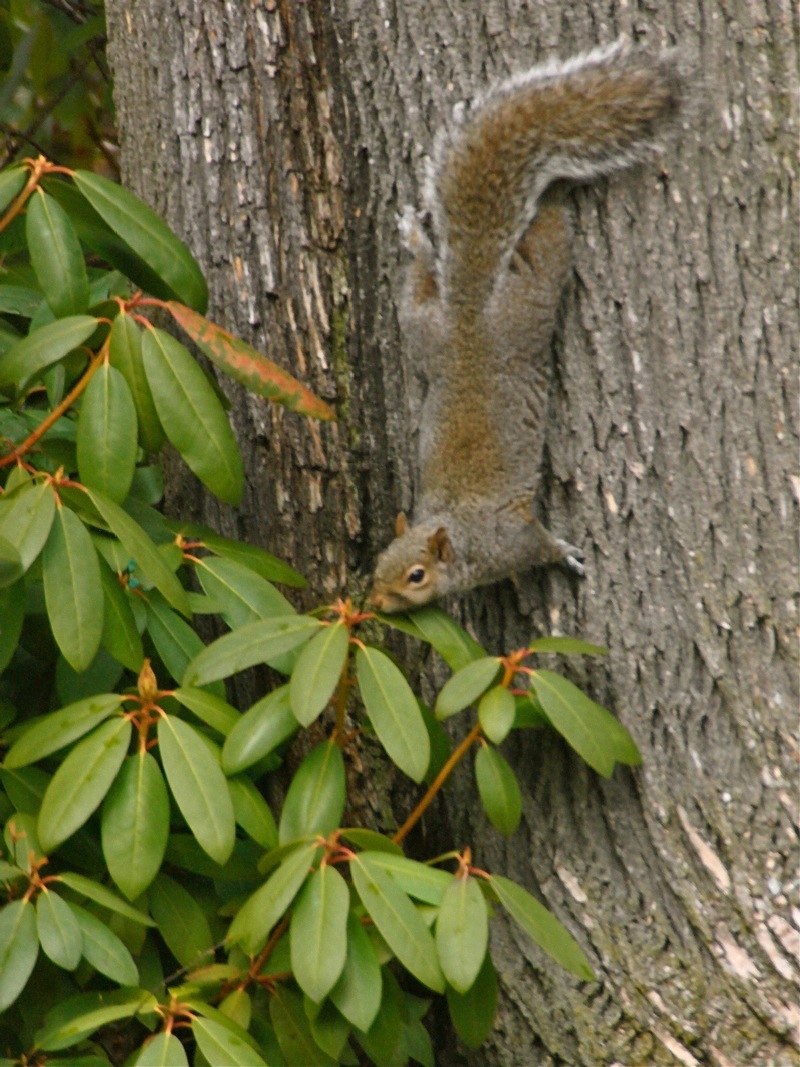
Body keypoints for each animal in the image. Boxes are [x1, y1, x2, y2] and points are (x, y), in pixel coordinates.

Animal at [369, 39, 682, 618]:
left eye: (416, 575)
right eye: (379, 561)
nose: (374, 603)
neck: (461, 537)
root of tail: (470, 313)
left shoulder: (510, 540)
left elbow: (539, 544)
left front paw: (565, 554)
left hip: (526, 304)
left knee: (548, 241)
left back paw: (547, 202)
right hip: (429, 333)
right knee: (422, 286)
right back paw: (419, 241)